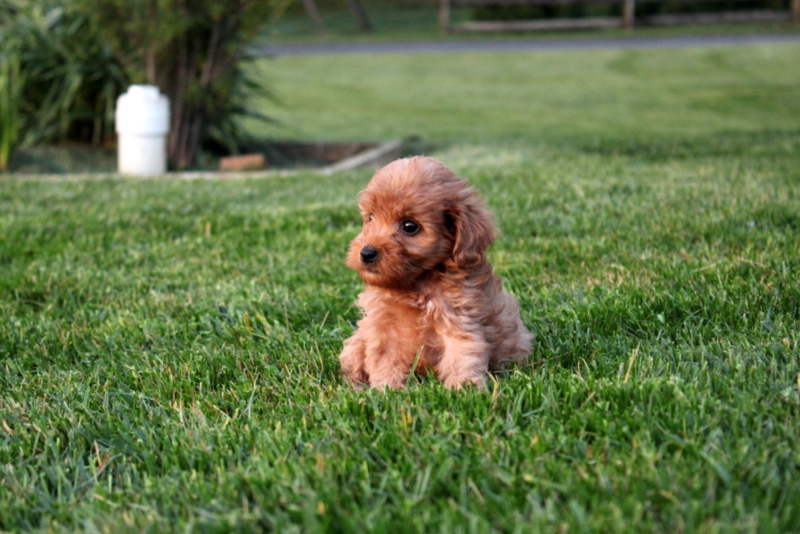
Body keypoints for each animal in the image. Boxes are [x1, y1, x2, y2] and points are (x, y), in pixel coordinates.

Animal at [338, 155, 532, 390]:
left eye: (409, 226)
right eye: (371, 217)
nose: (366, 253)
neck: (415, 285)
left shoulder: (459, 319)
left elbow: (462, 356)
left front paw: (465, 390)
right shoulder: (382, 328)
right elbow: (385, 361)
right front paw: (387, 391)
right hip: (357, 341)